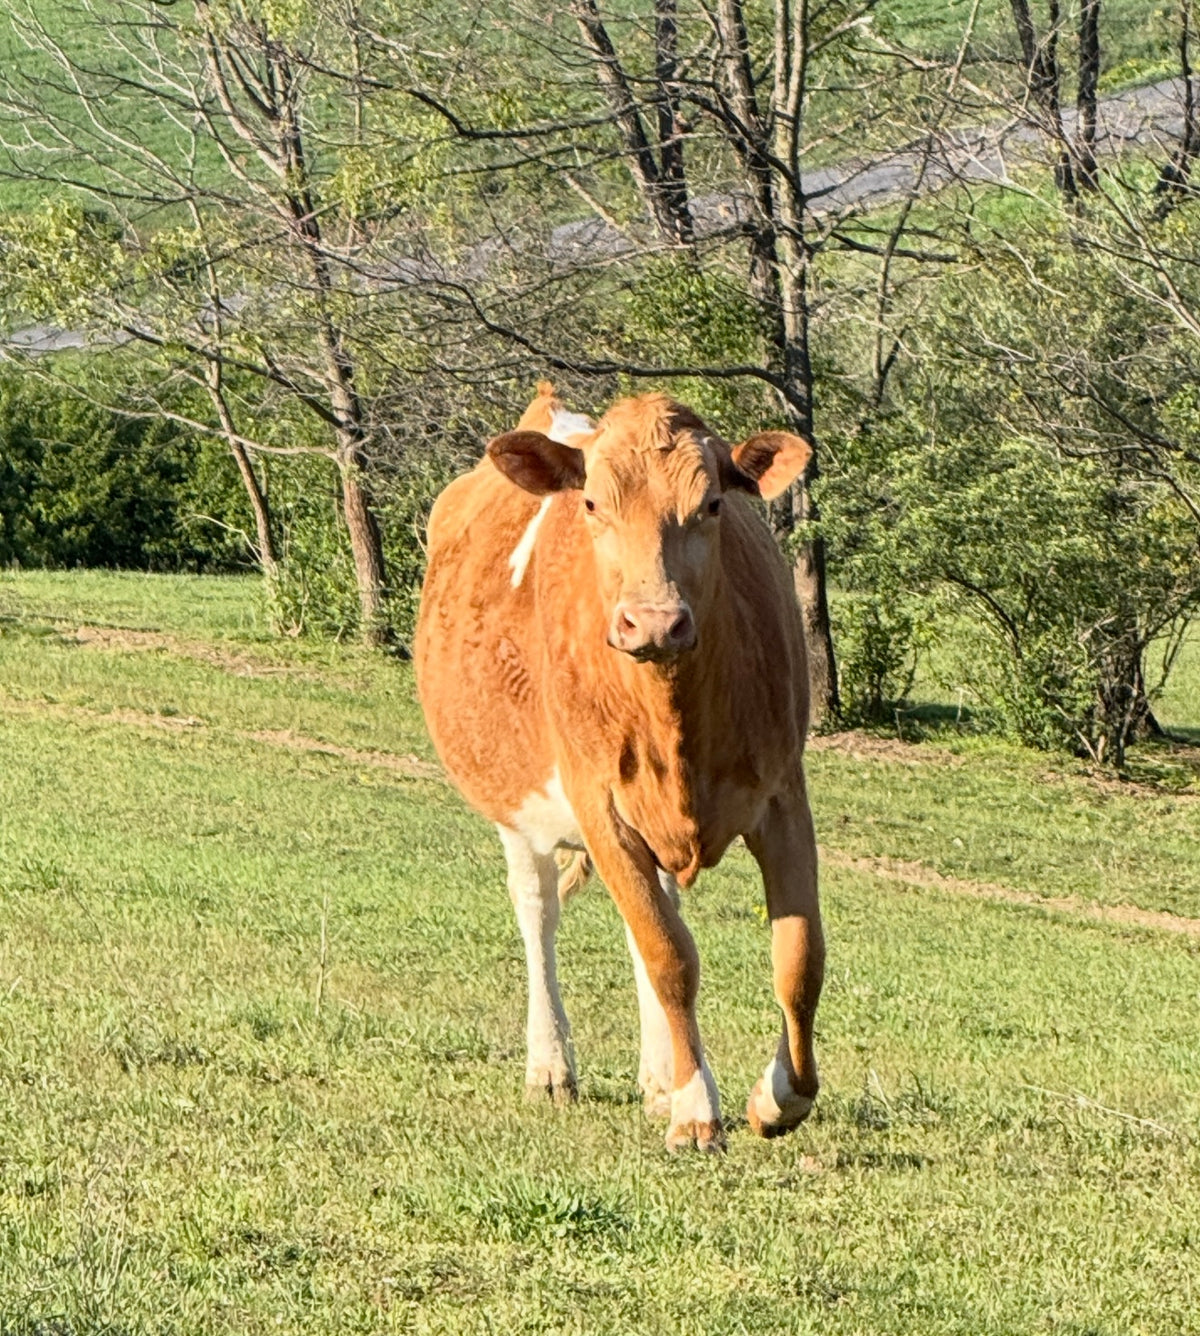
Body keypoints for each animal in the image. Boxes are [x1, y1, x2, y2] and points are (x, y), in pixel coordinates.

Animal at [414, 383, 824, 1151]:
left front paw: (776, 1097)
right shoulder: (598, 804)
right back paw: (552, 1068)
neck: (675, 721)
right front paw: (697, 1110)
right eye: (593, 504)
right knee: (540, 913)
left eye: (713, 504)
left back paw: (660, 1076)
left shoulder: (784, 795)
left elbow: (799, 959)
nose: (654, 621)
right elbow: (670, 956)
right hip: (516, 802)